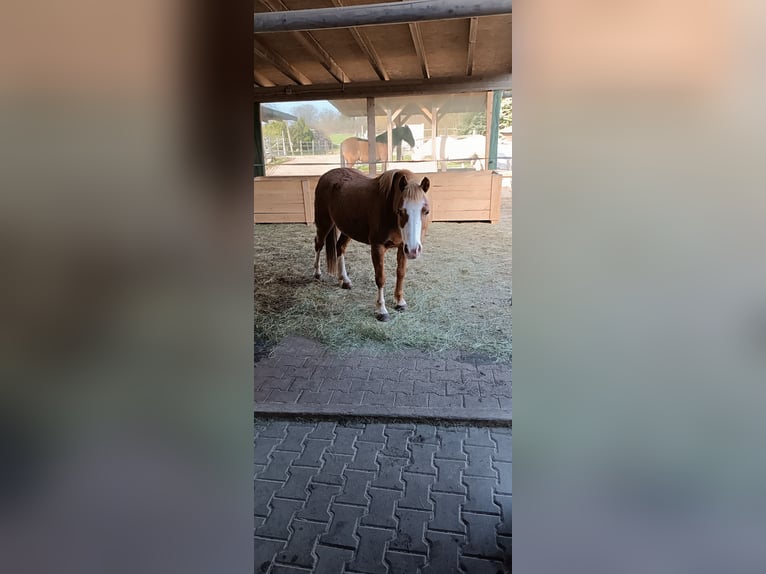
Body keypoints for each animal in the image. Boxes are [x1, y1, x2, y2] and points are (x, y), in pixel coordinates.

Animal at [313, 168, 431, 322]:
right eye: (400, 211)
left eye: (426, 211)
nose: (413, 250)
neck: (388, 207)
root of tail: (326, 175)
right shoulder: (377, 247)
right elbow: (380, 278)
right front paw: (381, 310)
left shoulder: (402, 247)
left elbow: (400, 273)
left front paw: (400, 302)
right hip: (324, 223)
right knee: (318, 244)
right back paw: (317, 273)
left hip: (348, 229)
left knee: (340, 248)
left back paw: (344, 280)